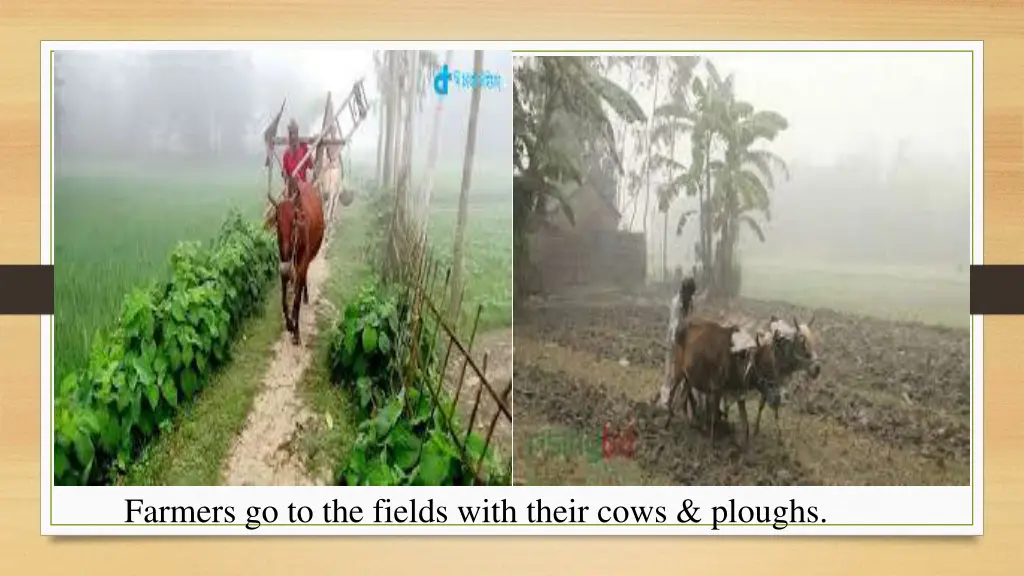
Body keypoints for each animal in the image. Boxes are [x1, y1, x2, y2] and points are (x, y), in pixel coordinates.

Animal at [266, 177, 321, 342]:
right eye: (277, 221)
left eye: (294, 221)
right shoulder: (283, 264)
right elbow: (284, 299)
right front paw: (289, 324)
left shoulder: (302, 260)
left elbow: (296, 298)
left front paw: (296, 331)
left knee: (302, 281)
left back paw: (305, 296)